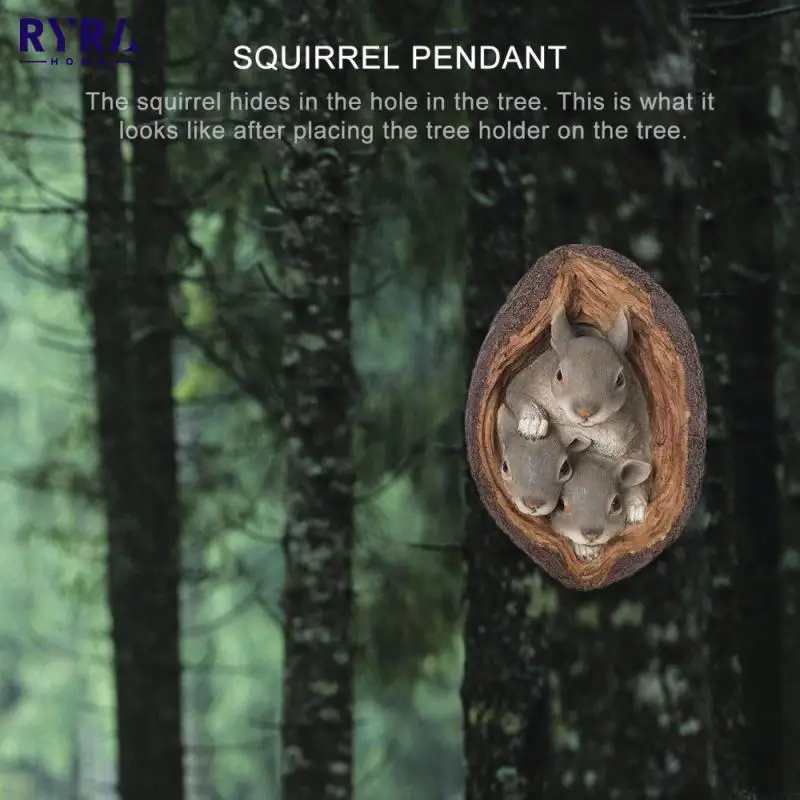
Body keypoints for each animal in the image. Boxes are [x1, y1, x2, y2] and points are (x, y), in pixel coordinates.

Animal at [503, 303, 652, 525]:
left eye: (620, 379)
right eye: (559, 375)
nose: (585, 411)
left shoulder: (637, 429)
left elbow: (638, 468)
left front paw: (635, 505)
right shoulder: (529, 378)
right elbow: (515, 394)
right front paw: (533, 422)